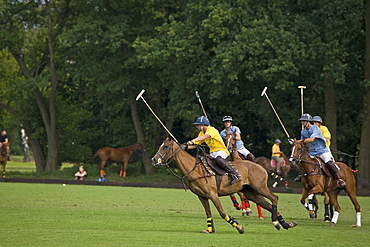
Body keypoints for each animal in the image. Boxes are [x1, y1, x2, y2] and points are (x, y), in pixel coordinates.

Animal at [151, 136, 298, 234]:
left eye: (165, 146)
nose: (154, 159)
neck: (194, 169)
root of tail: (261, 166)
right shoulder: (202, 196)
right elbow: (208, 212)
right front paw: (209, 229)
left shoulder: (213, 194)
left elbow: (221, 212)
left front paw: (239, 227)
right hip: (250, 192)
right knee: (267, 204)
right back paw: (286, 224)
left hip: (260, 187)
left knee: (274, 198)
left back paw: (277, 222)